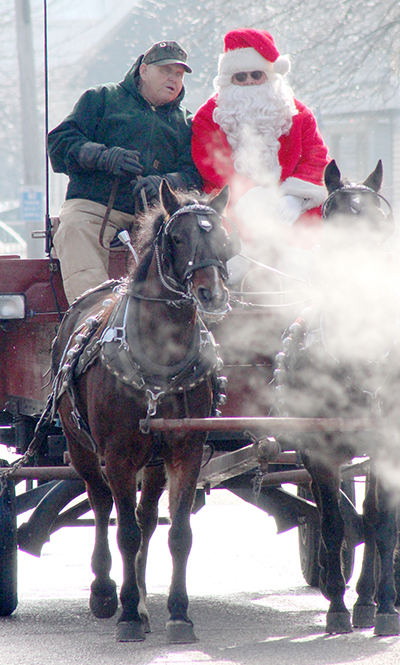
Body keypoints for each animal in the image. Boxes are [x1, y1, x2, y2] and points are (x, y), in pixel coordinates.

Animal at [51, 179, 236, 640]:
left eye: (227, 241)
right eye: (176, 238)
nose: (211, 294)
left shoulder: (186, 452)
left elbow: (179, 533)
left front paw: (177, 612)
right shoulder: (117, 456)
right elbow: (126, 533)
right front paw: (128, 614)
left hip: (152, 462)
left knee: (147, 516)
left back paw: (142, 597)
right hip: (80, 447)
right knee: (102, 506)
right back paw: (106, 592)